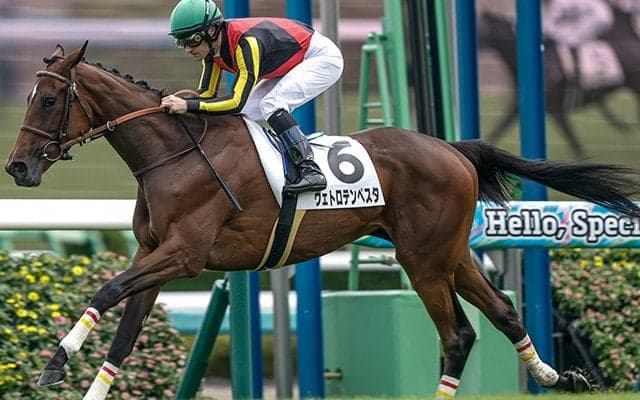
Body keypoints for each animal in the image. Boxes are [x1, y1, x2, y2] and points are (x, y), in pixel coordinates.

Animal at [6, 42, 640, 400]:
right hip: (451, 254)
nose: (17, 166)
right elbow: (123, 335)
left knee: (458, 335)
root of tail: (453, 149)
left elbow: (106, 289)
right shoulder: (152, 255)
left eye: (48, 100)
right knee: (504, 312)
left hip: (423, 260)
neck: (176, 152)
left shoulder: (183, 255)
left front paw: (55, 363)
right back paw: (560, 378)